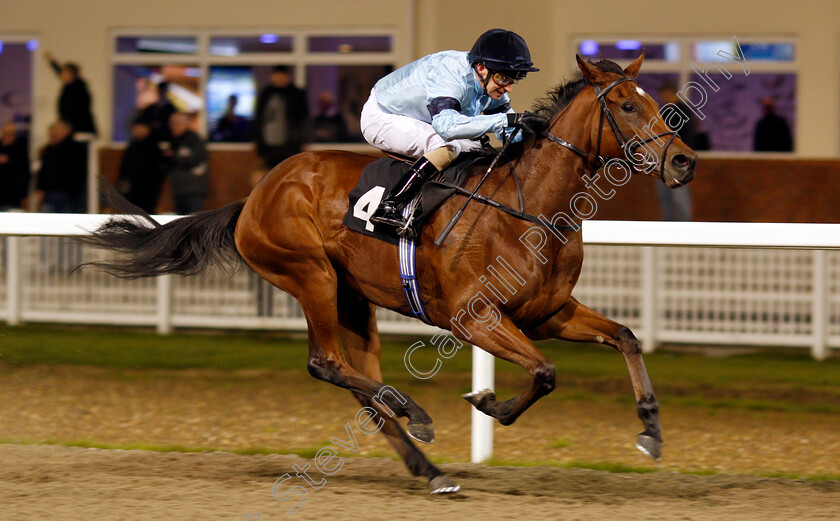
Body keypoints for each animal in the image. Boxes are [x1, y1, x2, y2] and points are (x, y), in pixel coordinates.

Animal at [90, 53, 696, 496]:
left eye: (656, 101)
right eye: (626, 105)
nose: (684, 161)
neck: (531, 208)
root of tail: (254, 195)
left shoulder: (547, 313)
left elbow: (625, 337)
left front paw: (651, 430)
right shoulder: (473, 318)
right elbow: (545, 373)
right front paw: (489, 403)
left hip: (353, 300)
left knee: (358, 387)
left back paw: (429, 466)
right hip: (310, 275)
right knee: (325, 363)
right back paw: (415, 411)